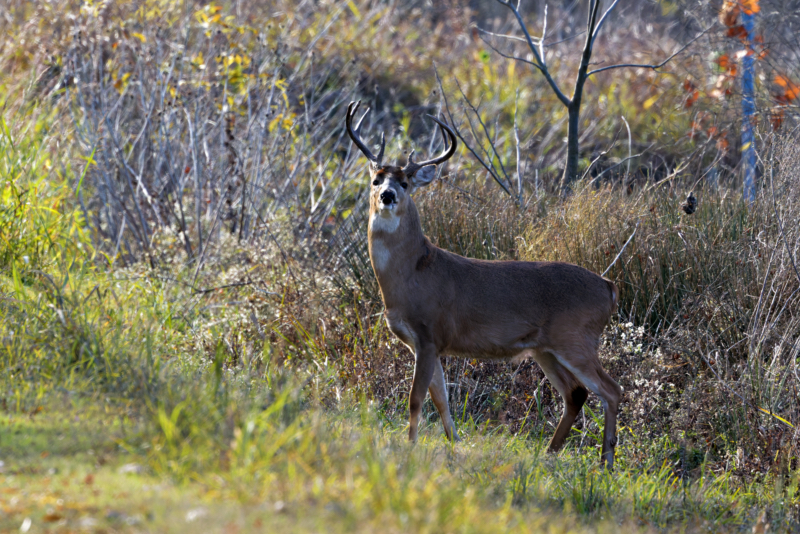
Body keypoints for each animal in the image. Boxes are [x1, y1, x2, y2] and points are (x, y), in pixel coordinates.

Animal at [344, 100, 624, 468]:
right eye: (376, 179)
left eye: (405, 182)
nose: (387, 195)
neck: (412, 274)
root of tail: (609, 287)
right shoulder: (425, 343)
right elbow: (441, 400)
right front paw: (454, 444)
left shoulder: (429, 334)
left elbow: (416, 399)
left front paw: (410, 448)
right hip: (545, 348)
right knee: (576, 393)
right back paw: (550, 453)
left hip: (576, 337)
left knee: (611, 390)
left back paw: (606, 461)